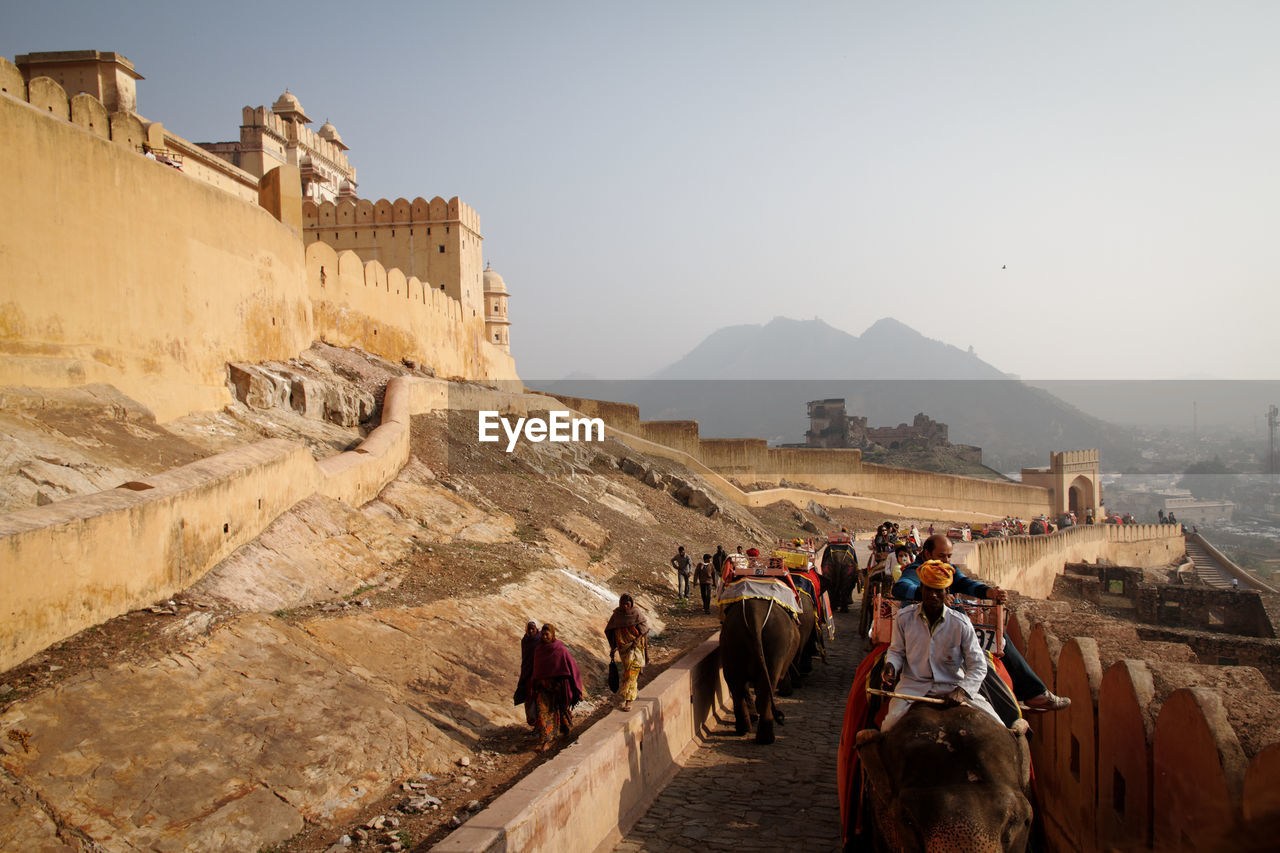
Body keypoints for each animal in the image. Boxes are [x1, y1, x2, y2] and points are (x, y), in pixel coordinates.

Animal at [721, 594, 798, 742]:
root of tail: (755, 614)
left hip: (731, 639)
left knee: (735, 684)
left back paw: (744, 729)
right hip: (777, 643)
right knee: (767, 688)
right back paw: (766, 739)